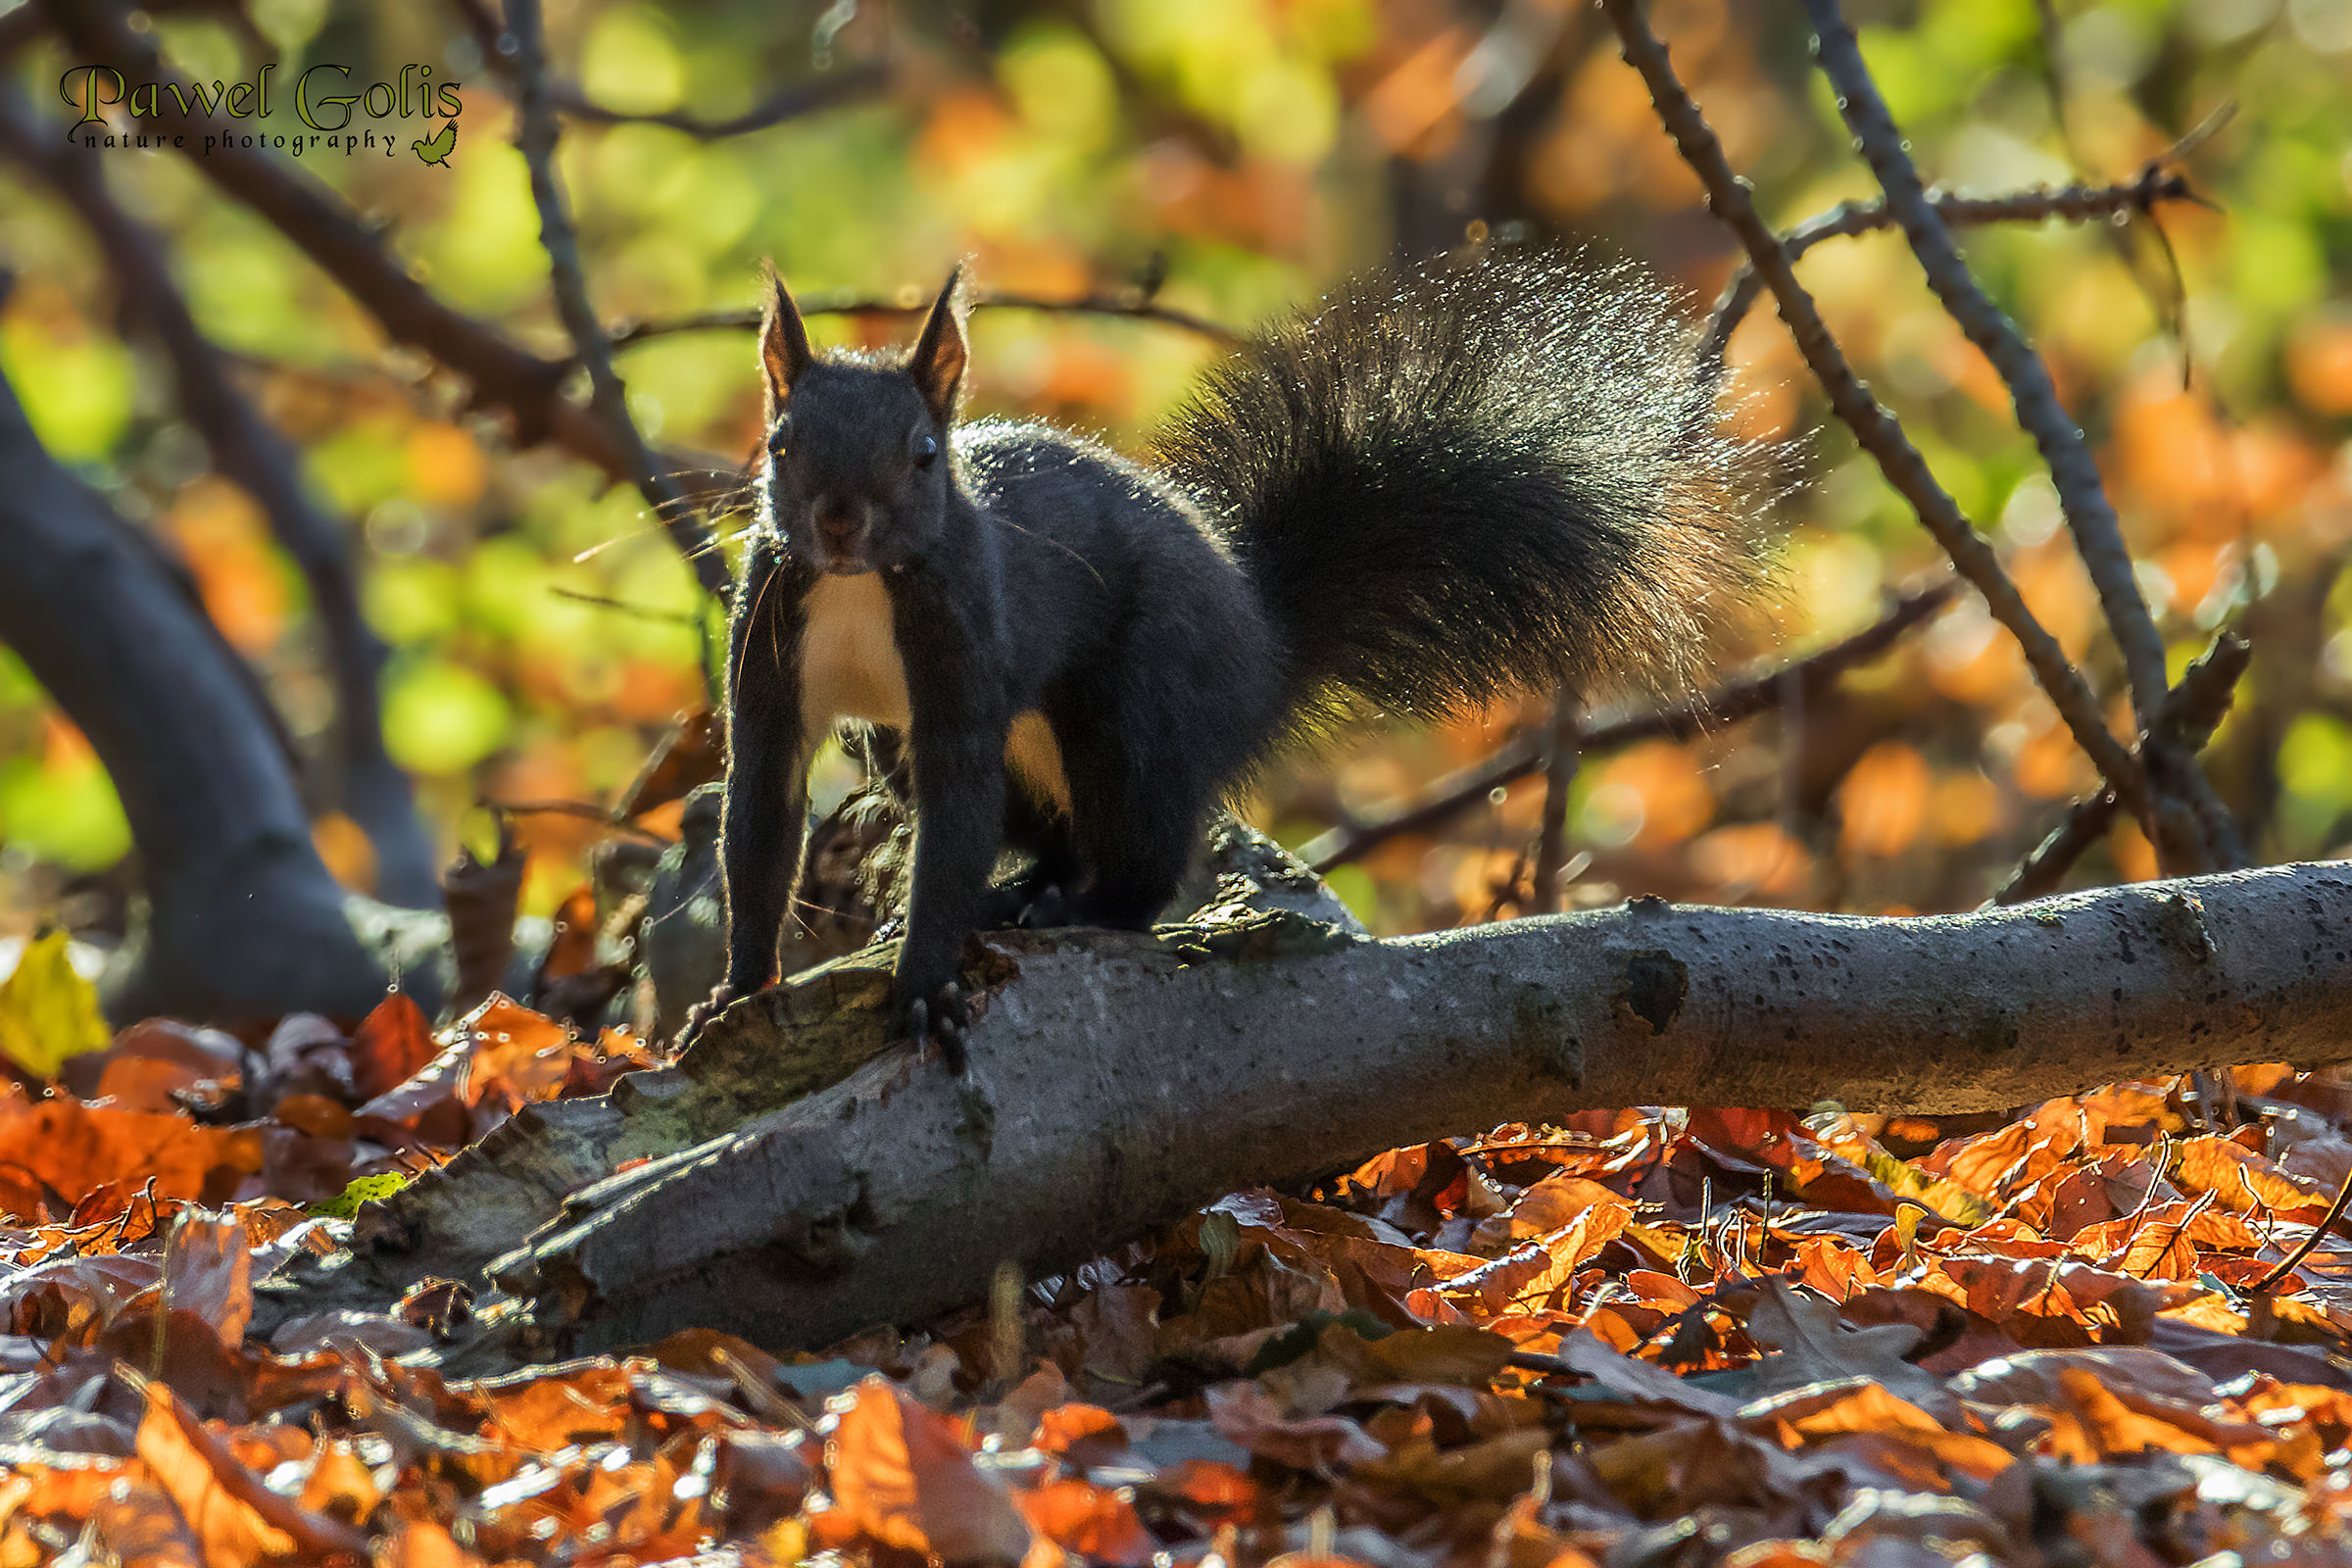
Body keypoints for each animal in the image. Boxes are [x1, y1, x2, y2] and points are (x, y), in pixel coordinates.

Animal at [685, 250, 1763, 1061]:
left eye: (922, 454)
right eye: (780, 444)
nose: (838, 524)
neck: (862, 586)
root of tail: (1263, 651)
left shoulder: (961, 669)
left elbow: (952, 827)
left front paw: (923, 985)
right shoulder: (772, 675)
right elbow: (760, 824)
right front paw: (736, 991)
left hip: (1136, 713)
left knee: (1142, 867)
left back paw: (1070, 905)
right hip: (943, 748)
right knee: (1062, 837)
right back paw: (1024, 893)